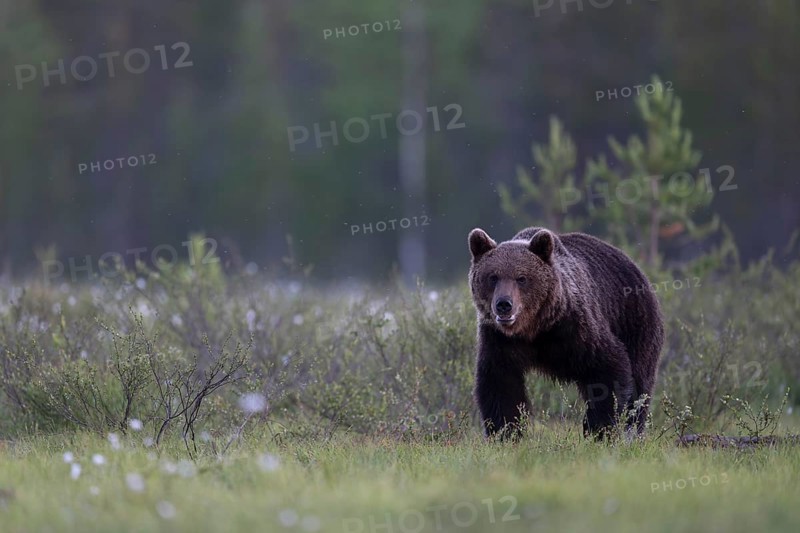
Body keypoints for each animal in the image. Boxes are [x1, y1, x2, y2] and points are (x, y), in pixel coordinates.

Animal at [467, 226, 664, 439]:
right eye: (493, 277)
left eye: (522, 278)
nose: (504, 304)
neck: (534, 329)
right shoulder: (499, 340)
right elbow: (500, 384)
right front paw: (504, 432)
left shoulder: (576, 328)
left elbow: (608, 371)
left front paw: (599, 429)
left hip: (636, 324)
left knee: (640, 382)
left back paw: (633, 430)